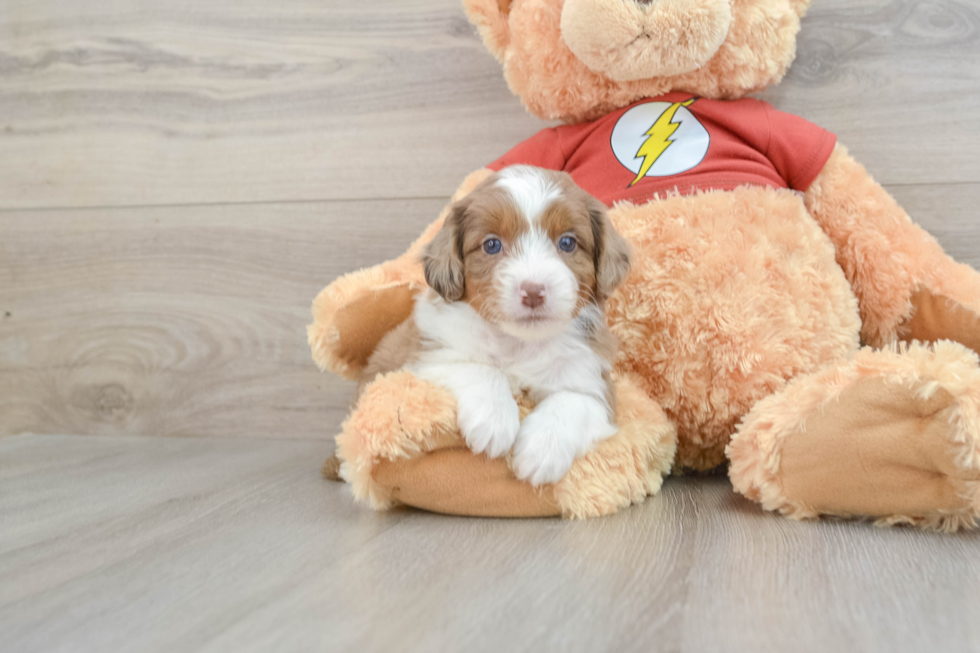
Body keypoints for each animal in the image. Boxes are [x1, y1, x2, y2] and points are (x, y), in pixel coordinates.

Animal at [366, 166, 628, 486]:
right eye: (491, 245)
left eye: (567, 242)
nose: (533, 291)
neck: (519, 343)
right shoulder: (428, 357)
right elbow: (481, 370)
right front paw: (494, 422)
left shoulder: (595, 383)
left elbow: (572, 402)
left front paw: (543, 451)